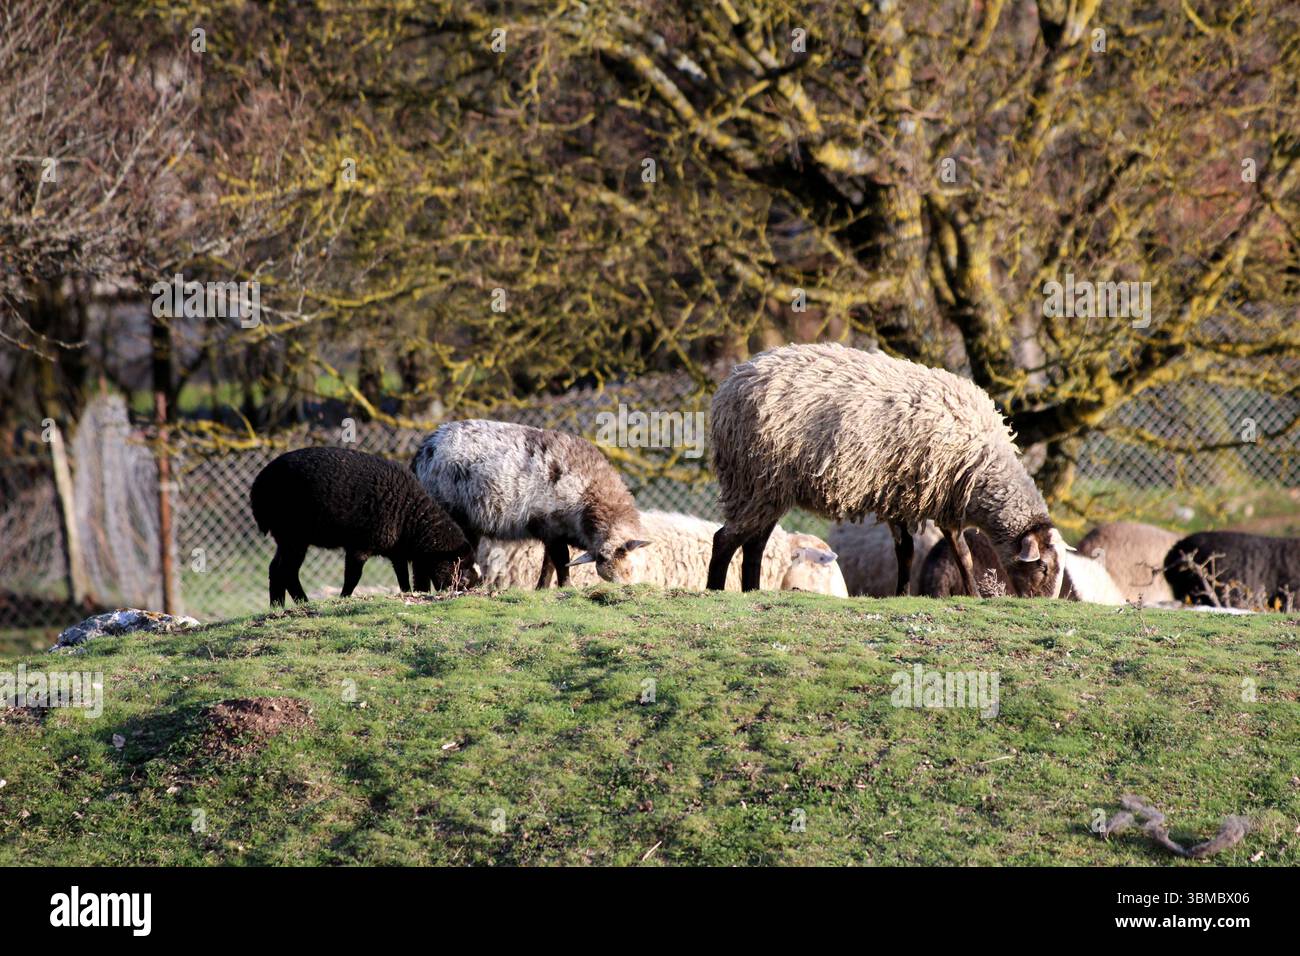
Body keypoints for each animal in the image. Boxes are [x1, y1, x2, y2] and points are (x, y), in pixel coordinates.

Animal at [250, 447, 476, 607]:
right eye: (458, 566)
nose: (460, 590)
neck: (410, 515)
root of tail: (258, 485)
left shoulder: (396, 551)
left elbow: (402, 576)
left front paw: (406, 593)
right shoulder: (360, 546)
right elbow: (353, 577)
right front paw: (343, 598)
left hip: (286, 537)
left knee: (276, 569)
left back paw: (277, 607)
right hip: (293, 536)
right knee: (287, 571)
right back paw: (302, 603)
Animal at [412, 419, 649, 587]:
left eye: (629, 570)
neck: (589, 492)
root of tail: (423, 450)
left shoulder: (554, 533)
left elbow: (549, 564)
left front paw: (542, 588)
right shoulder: (551, 526)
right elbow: (560, 561)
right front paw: (566, 587)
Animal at [708, 343, 1067, 598]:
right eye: (1044, 567)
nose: (1044, 603)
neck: (986, 464)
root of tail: (730, 385)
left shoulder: (905, 494)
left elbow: (908, 552)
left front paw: (902, 592)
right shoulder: (935, 493)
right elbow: (960, 552)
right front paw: (975, 595)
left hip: (769, 488)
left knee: (754, 544)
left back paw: (752, 589)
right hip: (753, 479)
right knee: (724, 538)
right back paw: (714, 589)